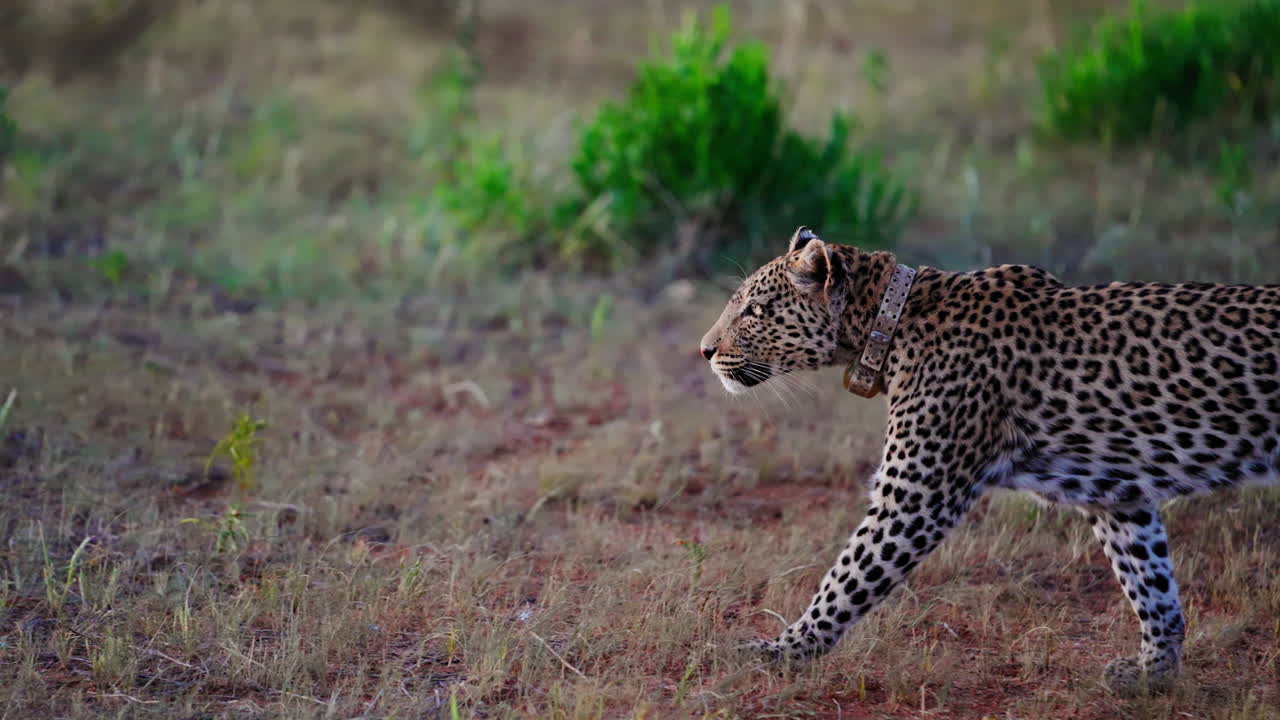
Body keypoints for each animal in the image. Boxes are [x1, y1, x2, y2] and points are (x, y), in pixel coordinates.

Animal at [699, 226, 1279, 696]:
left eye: (753, 311)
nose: (704, 351)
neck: (889, 321)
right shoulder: (1118, 495)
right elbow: (1150, 582)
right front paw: (1153, 673)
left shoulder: (915, 495)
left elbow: (845, 580)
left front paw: (781, 653)